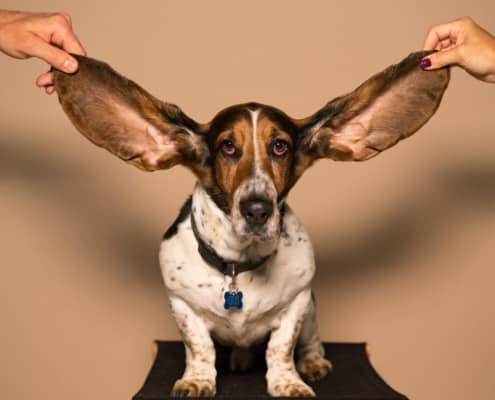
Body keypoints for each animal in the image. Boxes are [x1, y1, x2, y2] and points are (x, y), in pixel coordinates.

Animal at [53, 50, 450, 396]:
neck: (238, 263)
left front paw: (287, 382)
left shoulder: (298, 303)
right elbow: (199, 347)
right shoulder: (182, 306)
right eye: (228, 147)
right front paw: (197, 380)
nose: (257, 209)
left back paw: (313, 362)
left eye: (280, 146)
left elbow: (281, 348)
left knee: (311, 341)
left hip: (312, 311)